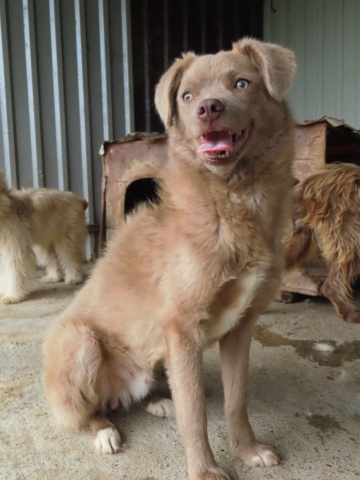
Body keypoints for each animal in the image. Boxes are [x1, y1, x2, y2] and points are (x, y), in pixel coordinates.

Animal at [0, 172, 88, 304]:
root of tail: (77, 198)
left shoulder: (14, 250)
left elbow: (14, 271)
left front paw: (12, 295)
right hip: (44, 243)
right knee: (52, 259)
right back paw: (53, 277)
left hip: (66, 239)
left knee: (72, 257)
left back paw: (74, 277)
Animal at [43, 38, 296, 480]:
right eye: (187, 96)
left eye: (241, 83)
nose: (208, 108)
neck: (232, 203)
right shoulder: (183, 331)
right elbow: (195, 413)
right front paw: (205, 470)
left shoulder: (239, 327)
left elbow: (236, 400)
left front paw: (247, 450)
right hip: (81, 342)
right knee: (92, 408)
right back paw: (104, 430)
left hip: (156, 353)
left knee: (136, 393)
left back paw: (158, 402)